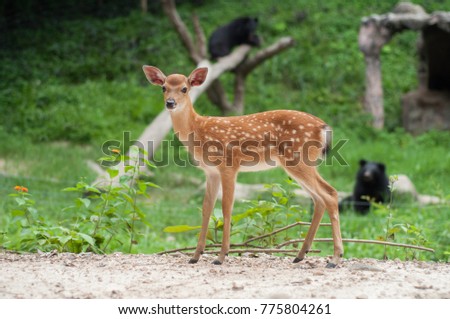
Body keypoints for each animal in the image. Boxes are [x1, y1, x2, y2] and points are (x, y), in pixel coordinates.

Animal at [144, 65, 344, 268]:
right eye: (164, 87)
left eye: (184, 88)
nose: (170, 103)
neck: (199, 129)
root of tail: (323, 127)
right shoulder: (210, 171)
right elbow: (207, 208)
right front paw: (195, 255)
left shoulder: (229, 165)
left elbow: (227, 207)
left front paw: (221, 256)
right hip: (300, 163)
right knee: (319, 198)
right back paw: (301, 254)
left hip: (298, 159)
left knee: (330, 194)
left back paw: (335, 258)